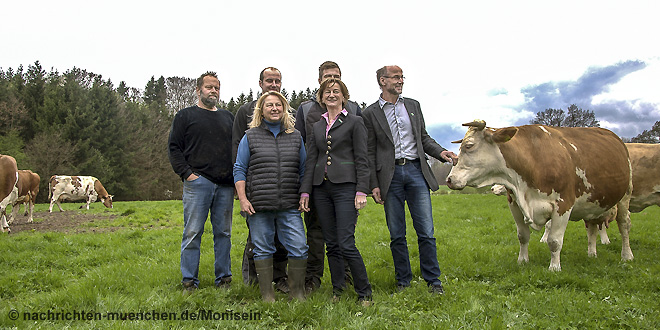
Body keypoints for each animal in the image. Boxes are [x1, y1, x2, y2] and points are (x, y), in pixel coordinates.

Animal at [446, 120, 632, 270]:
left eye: (469, 146)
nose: (449, 179)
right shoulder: (514, 204)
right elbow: (522, 236)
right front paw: (522, 260)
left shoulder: (563, 205)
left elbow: (554, 241)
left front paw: (554, 267)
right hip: (592, 205)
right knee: (592, 228)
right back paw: (592, 253)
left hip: (625, 197)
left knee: (624, 226)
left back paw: (626, 255)